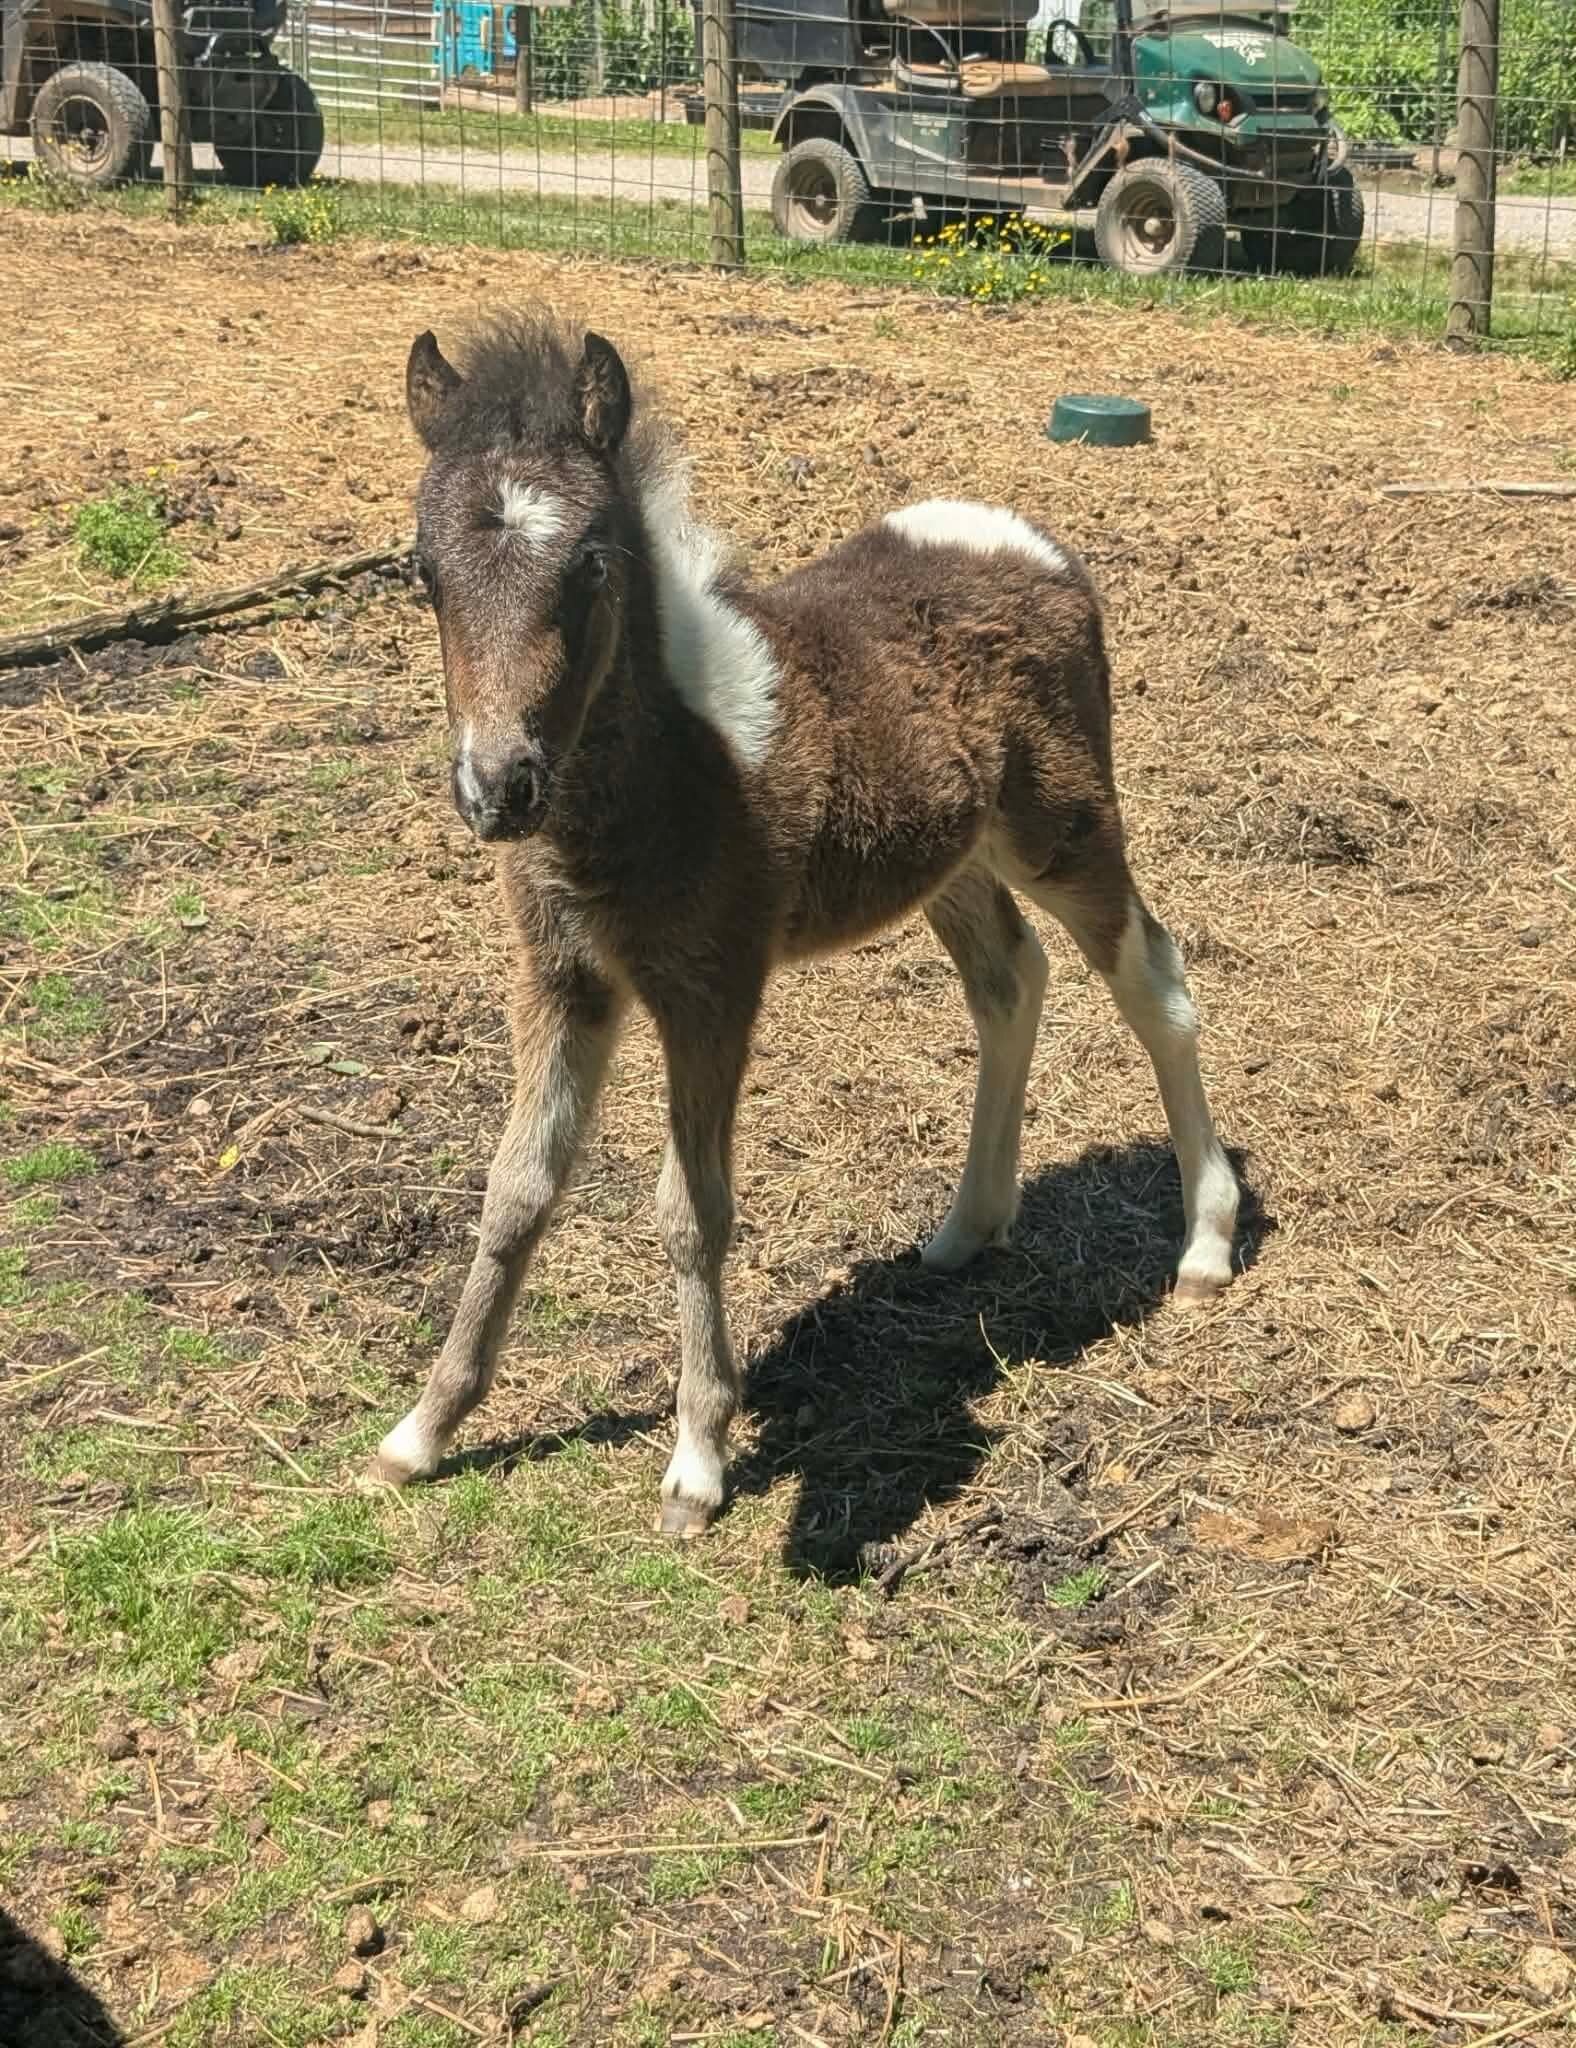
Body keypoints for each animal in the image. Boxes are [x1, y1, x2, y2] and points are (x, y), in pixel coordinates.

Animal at [372, 312, 1240, 1536]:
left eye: (591, 564)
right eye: (423, 572)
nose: (499, 787)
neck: (664, 773)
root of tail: (1038, 544)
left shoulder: (712, 984)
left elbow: (690, 1209)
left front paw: (697, 1459)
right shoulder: (561, 978)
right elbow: (516, 1189)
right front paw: (422, 1431)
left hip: (1063, 829)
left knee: (1153, 978)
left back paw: (1205, 1240)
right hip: (951, 857)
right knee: (1009, 979)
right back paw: (967, 1226)